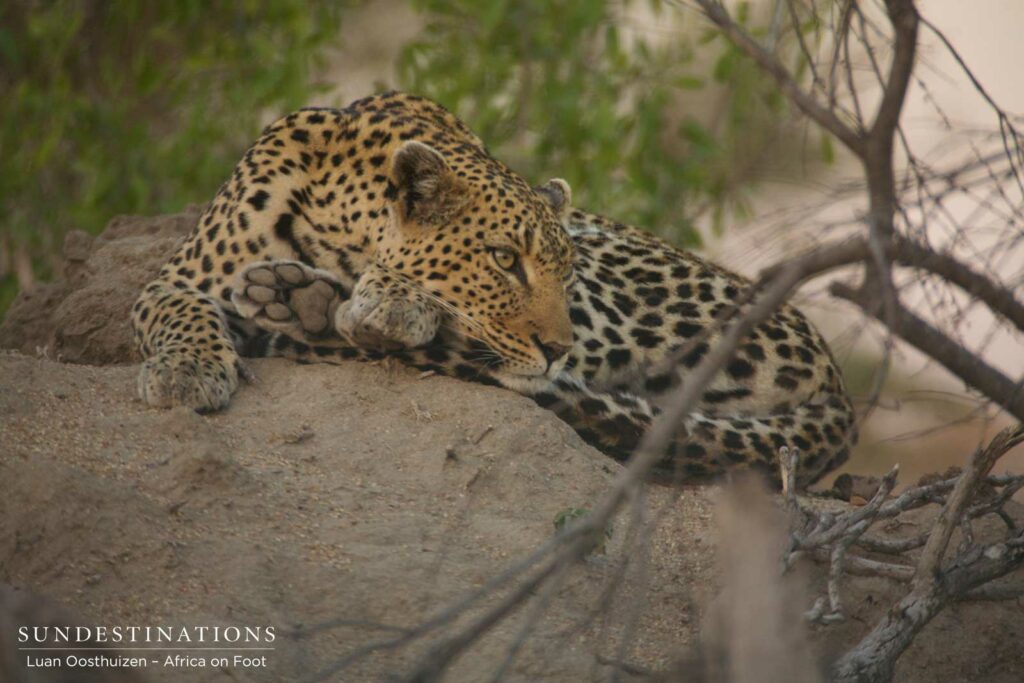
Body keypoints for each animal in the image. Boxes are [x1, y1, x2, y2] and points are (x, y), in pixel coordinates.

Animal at [132, 91, 857, 487]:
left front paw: (391, 298)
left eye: (563, 273)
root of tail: (838, 382)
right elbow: (181, 313)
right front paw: (187, 372)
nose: (556, 348)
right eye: (505, 260)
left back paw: (308, 307)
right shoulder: (172, 281)